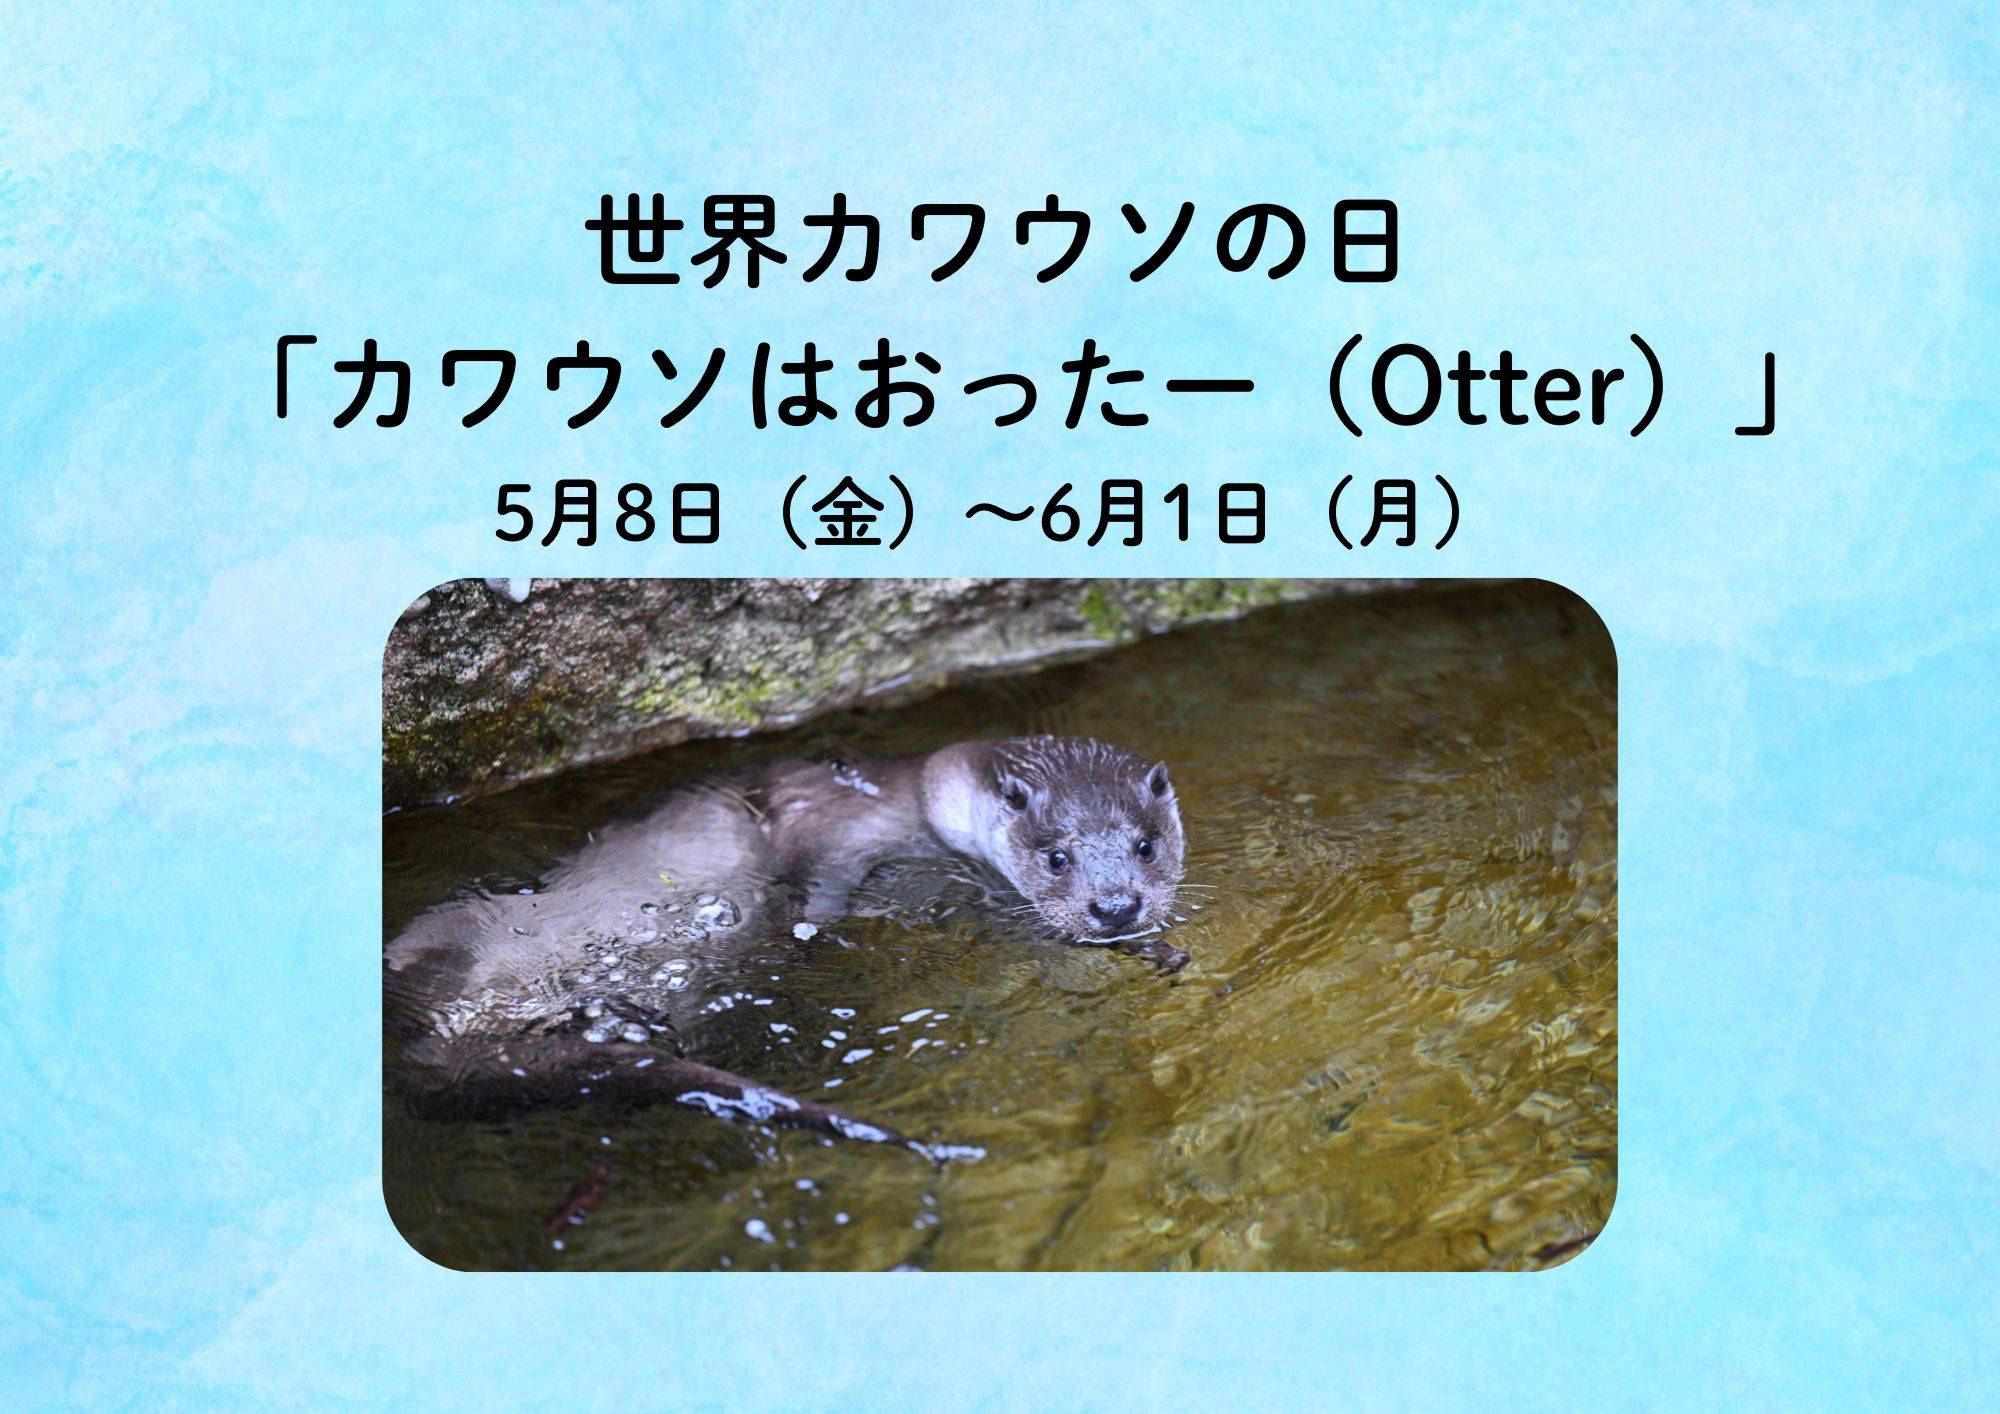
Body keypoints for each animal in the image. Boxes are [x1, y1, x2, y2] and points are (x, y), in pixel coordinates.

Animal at [386, 736, 1187, 1153]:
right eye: (1056, 857)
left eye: (1146, 846)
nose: (1115, 904)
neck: (898, 805)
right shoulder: (829, 834)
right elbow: (813, 885)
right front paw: (807, 928)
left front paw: (1153, 948)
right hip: (457, 935)